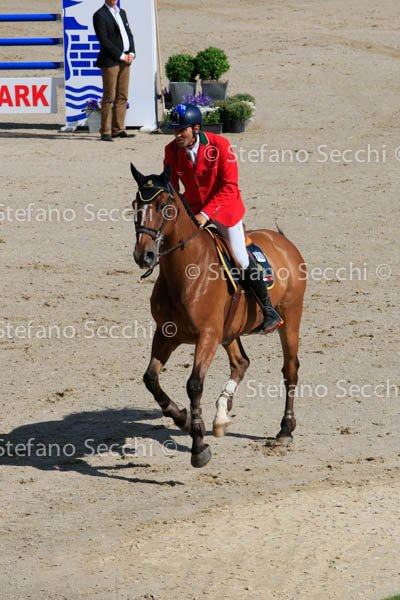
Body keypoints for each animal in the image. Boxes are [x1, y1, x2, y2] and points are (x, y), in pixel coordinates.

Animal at [131, 163, 306, 468]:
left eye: (165, 207)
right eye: (134, 205)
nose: (145, 255)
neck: (186, 273)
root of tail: (283, 241)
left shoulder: (207, 336)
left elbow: (194, 385)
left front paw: (198, 446)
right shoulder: (166, 334)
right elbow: (151, 378)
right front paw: (183, 419)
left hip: (290, 317)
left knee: (290, 369)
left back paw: (285, 429)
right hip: (229, 331)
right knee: (241, 362)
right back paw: (222, 414)